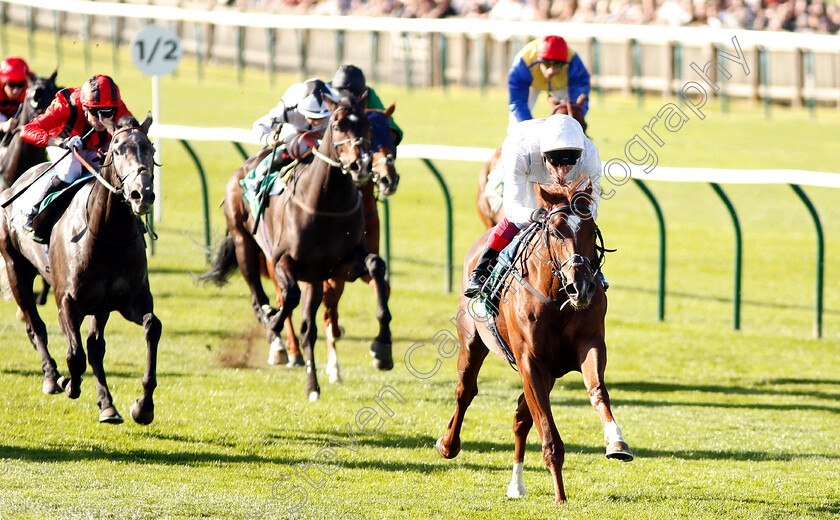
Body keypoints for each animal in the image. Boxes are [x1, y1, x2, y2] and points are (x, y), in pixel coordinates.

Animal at [0, 114, 161, 422]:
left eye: (151, 149)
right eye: (118, 150)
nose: (141, 194)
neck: (108, 234)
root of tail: (15, 185)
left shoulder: (129, 300)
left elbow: (151, 327)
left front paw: (143, 405)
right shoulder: (67, 300)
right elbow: (74, 355)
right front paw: (69, 384)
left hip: (100, 305)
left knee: (95, 347)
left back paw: (107, 404)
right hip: (16, 269)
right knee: (36, 326)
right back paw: (52, 376)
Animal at [200, 93, 394, 400]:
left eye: (368, 128)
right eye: (337, 125)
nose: (359, 166)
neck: (326, 204)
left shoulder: (343, 265)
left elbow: (376, 267)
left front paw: (383, 348)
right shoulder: (283, 261)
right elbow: (288, 298)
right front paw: (273, 327)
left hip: (313, 277)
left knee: (307, 329)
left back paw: (312, 385)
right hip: (245, 243)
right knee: (260, 296)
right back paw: (276, 336)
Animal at [436, 177, 632, 506]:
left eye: (591, 229)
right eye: (555, 230)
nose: (581, 287)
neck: (557, 298)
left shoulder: (589, 344)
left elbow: (597, 391)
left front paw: (616, 442)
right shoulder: (530, 361)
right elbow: (549, 434)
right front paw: (560, 496)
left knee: (520, 417)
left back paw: (517, 485)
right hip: (472, 342)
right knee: (465, 392)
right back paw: (448, 444)